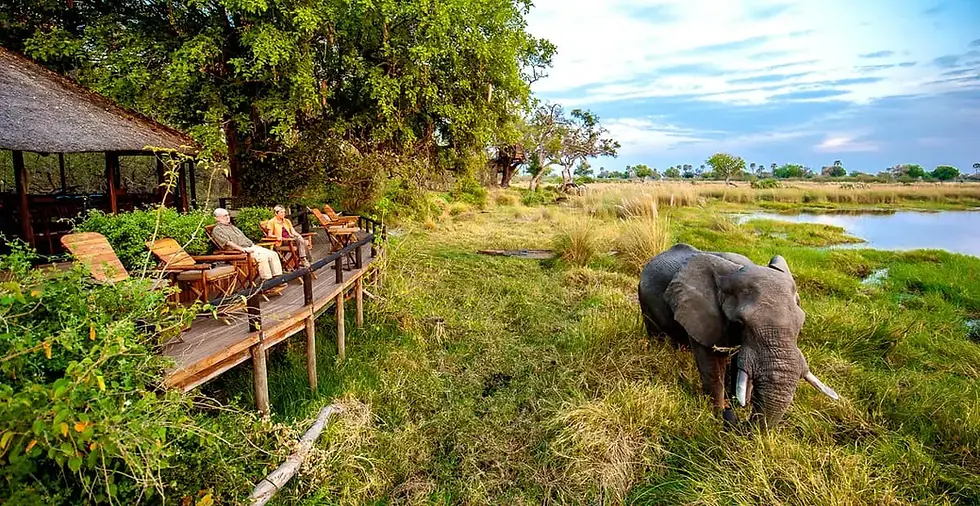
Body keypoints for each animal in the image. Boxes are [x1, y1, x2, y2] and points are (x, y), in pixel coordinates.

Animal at [637, 243, 840, 430]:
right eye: (740, 323)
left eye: (801, 323)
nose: (733, 416)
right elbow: (712, 363)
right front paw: (719, 411)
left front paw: (737, 403)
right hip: (644, 300)